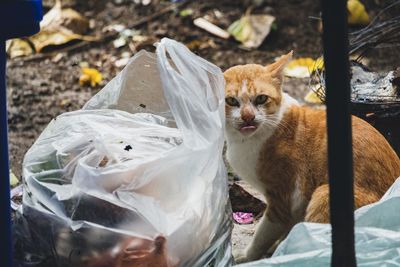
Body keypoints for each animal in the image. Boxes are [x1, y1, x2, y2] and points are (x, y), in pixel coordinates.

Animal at [223, 51, 400, 264]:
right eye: (232, 101)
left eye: (261, 99)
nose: (248, 117)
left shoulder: (283, 200)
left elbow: (263, 234)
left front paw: (251, 255)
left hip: (323, 194)